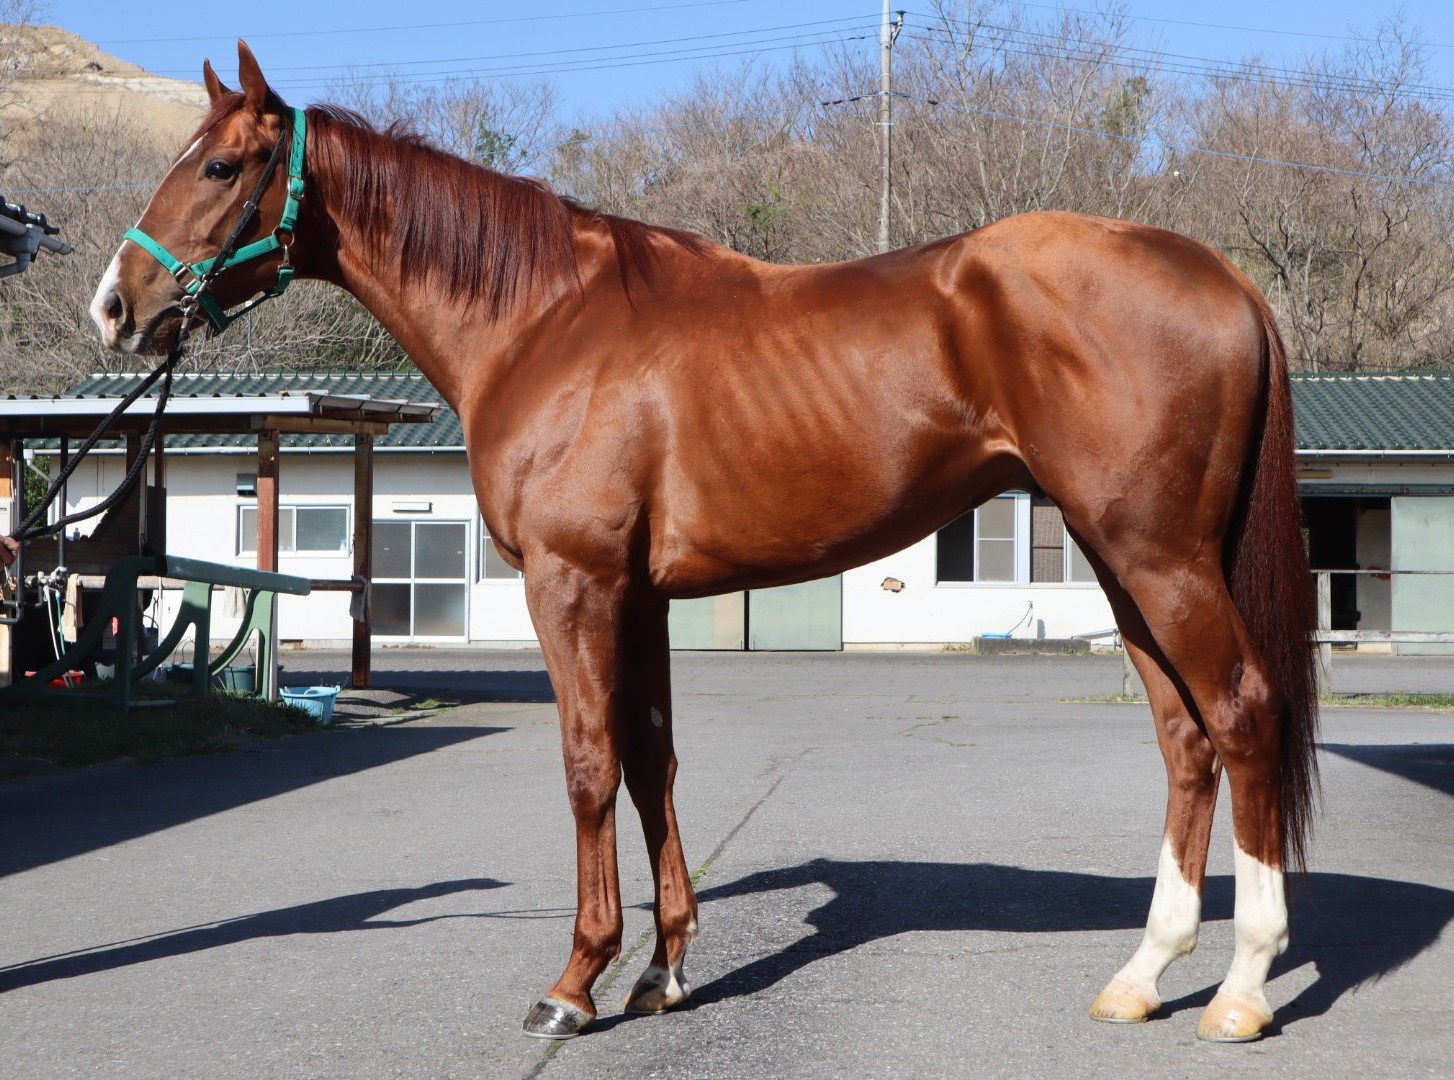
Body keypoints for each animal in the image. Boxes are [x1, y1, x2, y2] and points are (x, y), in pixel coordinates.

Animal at [90, 44, 1320, 1046]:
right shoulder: (638, 597)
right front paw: (662, 973)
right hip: (1124, 564)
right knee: (1184, 738)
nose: (115, 306)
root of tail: (1219, 275)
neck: (545, 319)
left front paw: (576, 983)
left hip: (1158, 558)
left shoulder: (573, 584)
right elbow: (651, 763)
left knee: (1241, 713)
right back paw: (1142, 974)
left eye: (219, 168)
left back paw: (1240, 990)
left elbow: (589, 764)